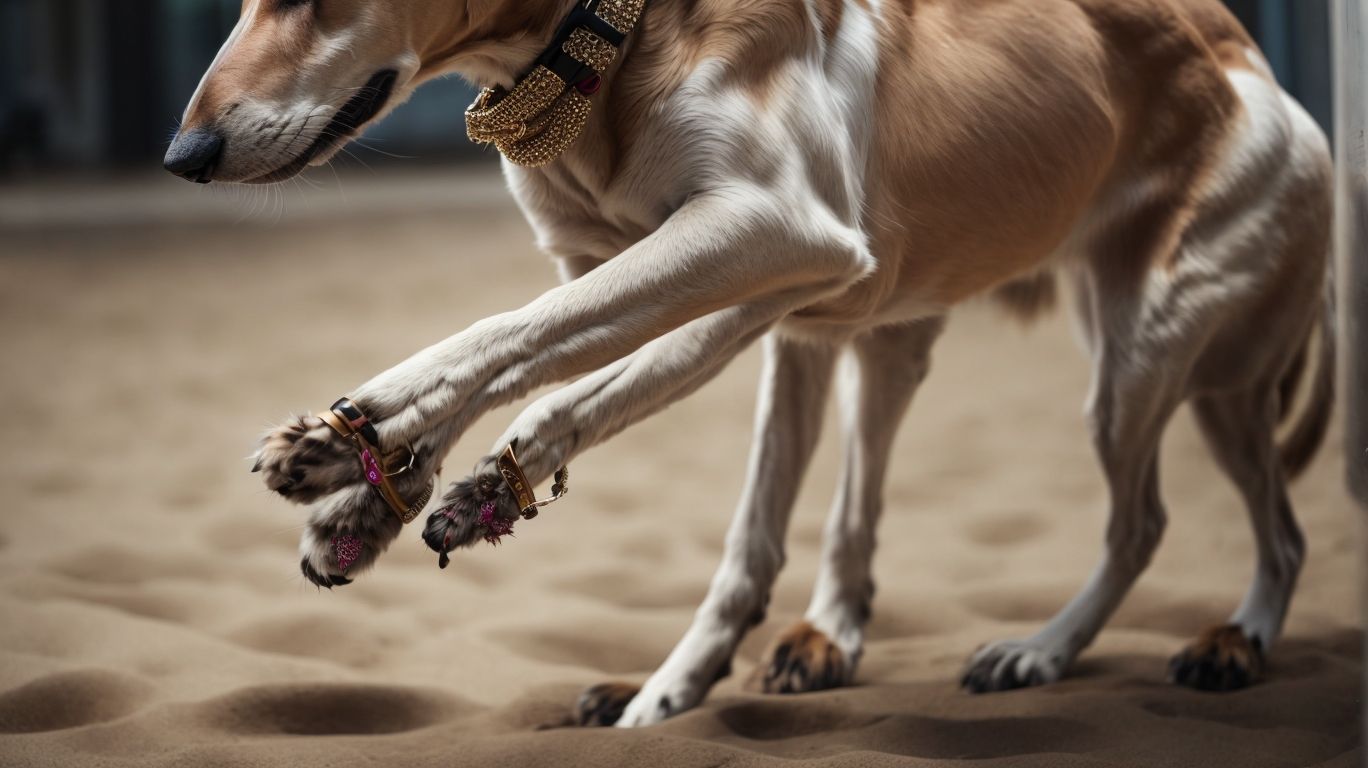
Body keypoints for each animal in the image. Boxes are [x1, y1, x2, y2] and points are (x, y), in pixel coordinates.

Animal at [162, 0, 1335, 722]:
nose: (184, 156)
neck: (606, 49)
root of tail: (1258, 66)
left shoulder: (775, 230)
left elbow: (510, 338)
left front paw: (352, 438)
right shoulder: (766, 286)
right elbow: (572, 380)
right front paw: (374, 499)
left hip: (1146, 355)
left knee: (1166, 522)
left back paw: (1076, 648)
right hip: (1070, 352)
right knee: (1259, 523)